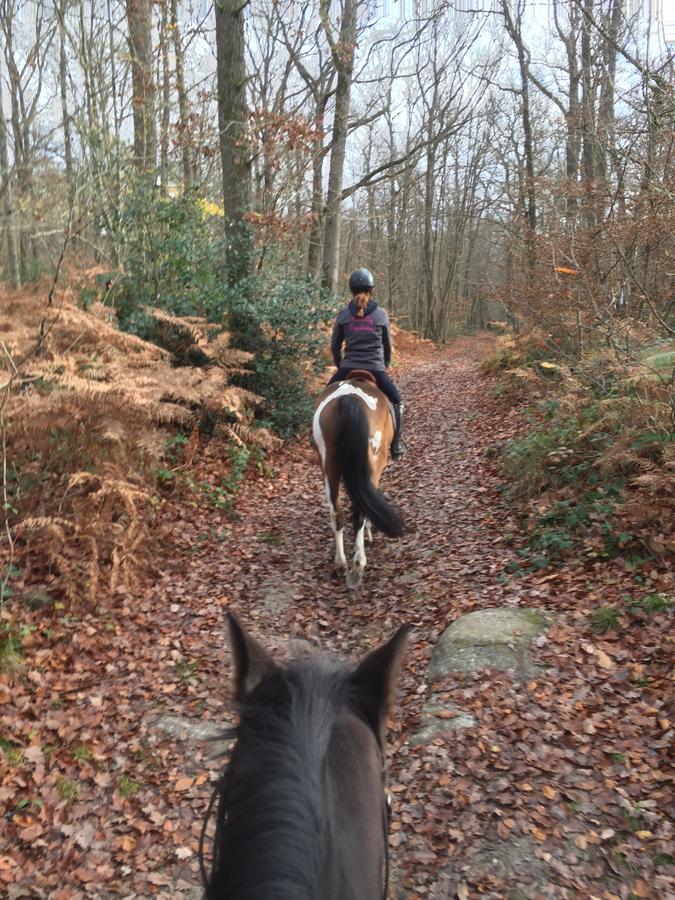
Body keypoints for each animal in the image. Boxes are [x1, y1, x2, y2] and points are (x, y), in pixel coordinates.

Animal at [312, 370, 404, 588]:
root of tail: (348, 399)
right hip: (373, 463)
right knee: (360, 511)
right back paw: (358, 563)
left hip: (329, 467)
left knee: (336, 513)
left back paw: (341, 564)